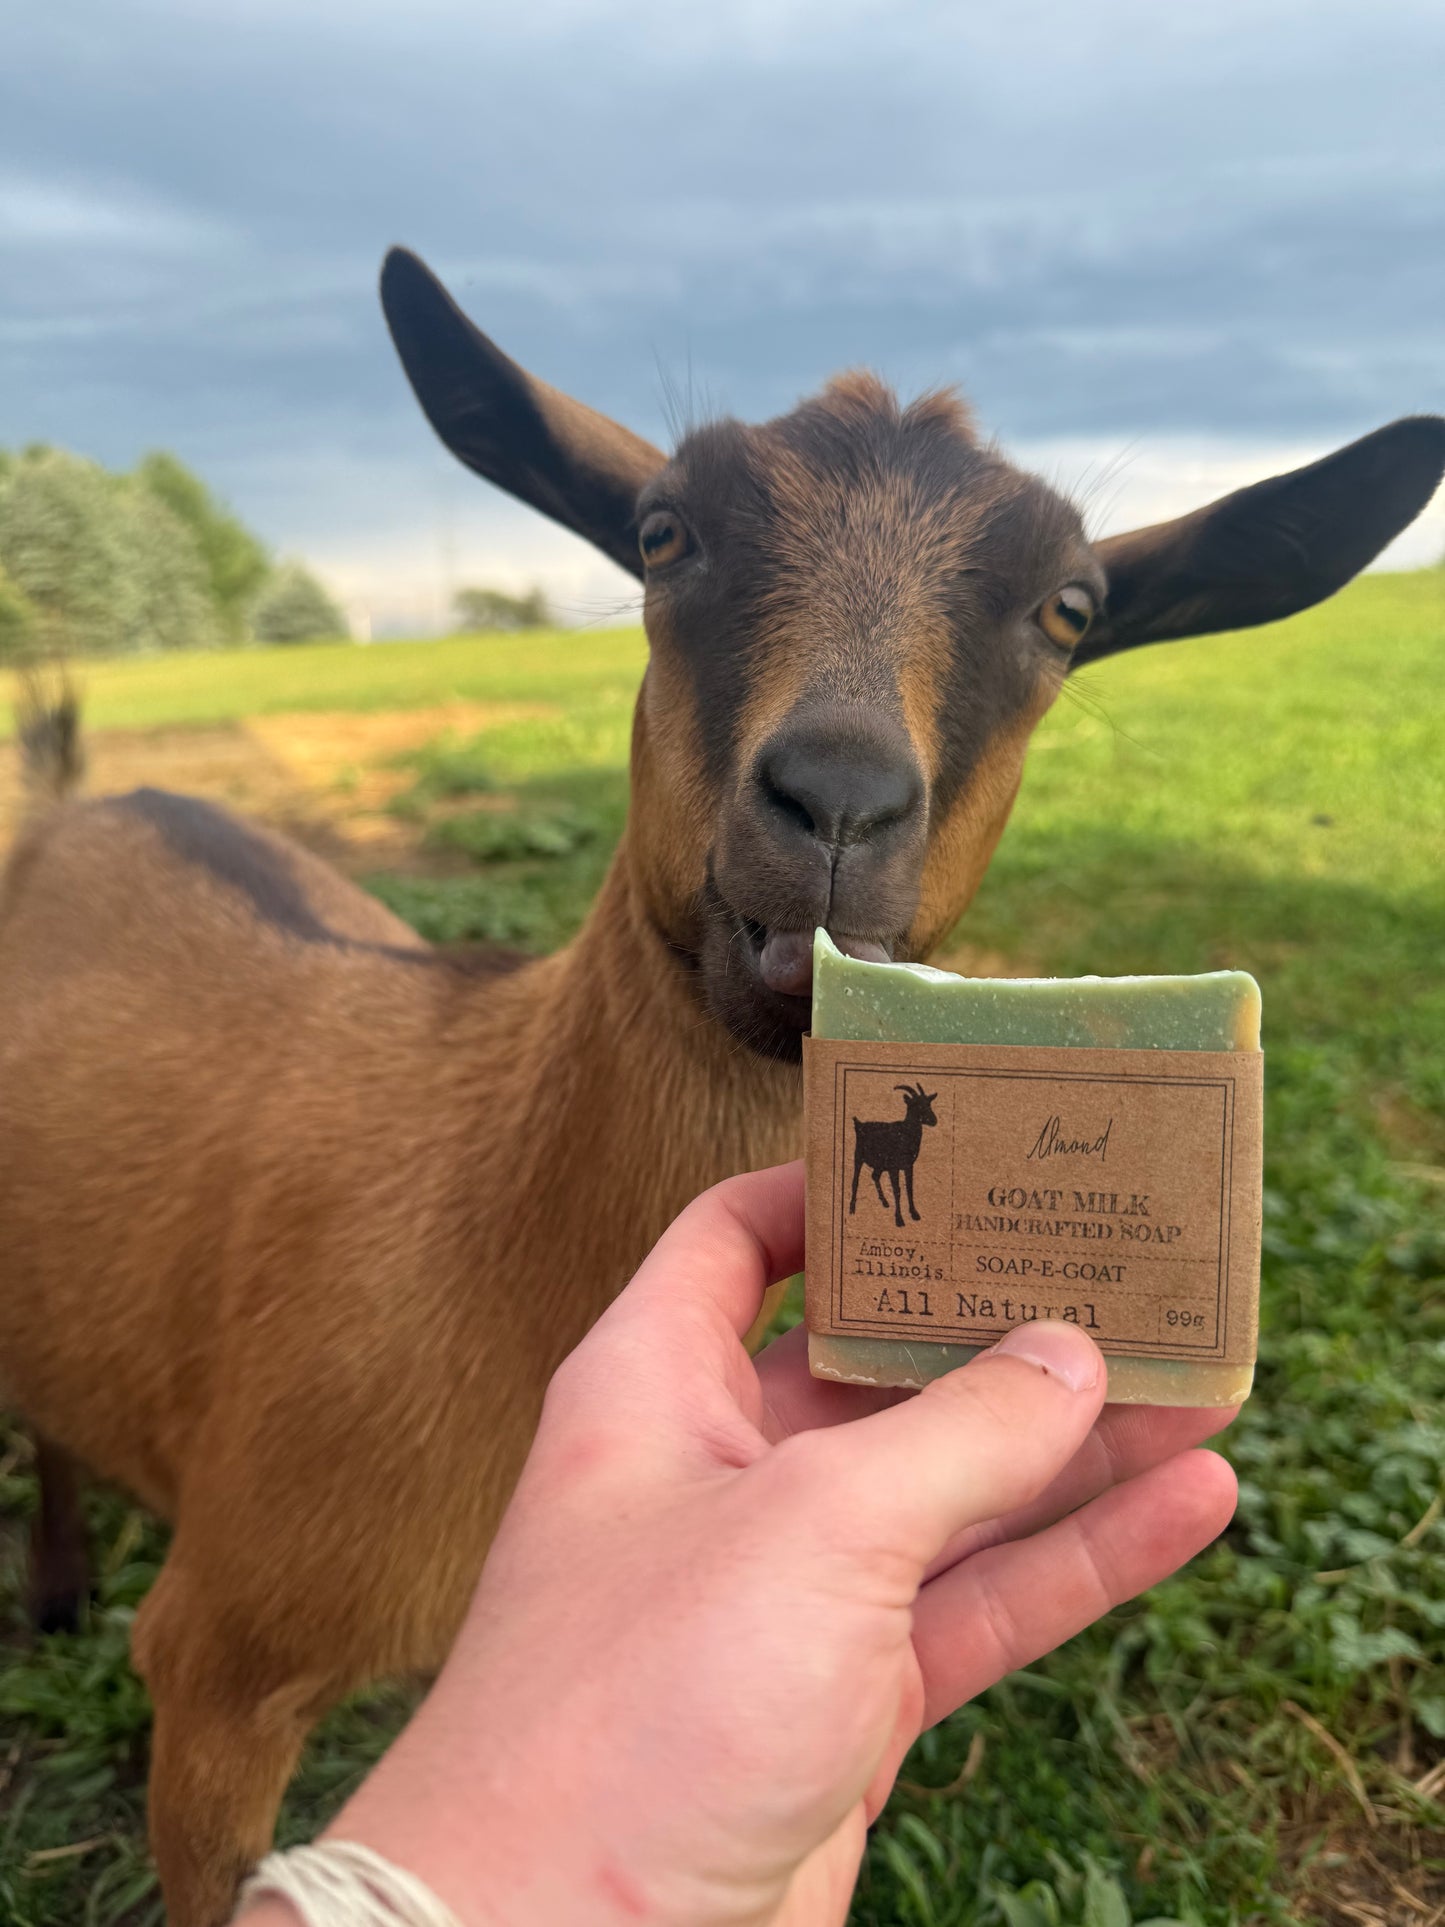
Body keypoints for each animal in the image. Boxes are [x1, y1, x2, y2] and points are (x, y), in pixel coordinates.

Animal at [851, 1083, 939, 1227]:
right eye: (916, 1104)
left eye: (928, 1103)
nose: (933, 1120)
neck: (904, 1134)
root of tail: (859, 1124)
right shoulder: (894, 1168)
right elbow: (897, 1190)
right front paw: (899, 1219)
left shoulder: (908, 1166)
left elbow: (909, 1188)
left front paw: (914, 1214)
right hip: (858, 1157)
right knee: (855, 1181)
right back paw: (852, 1208)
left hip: (880, 1164)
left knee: (874, 1176)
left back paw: (885, 1202)